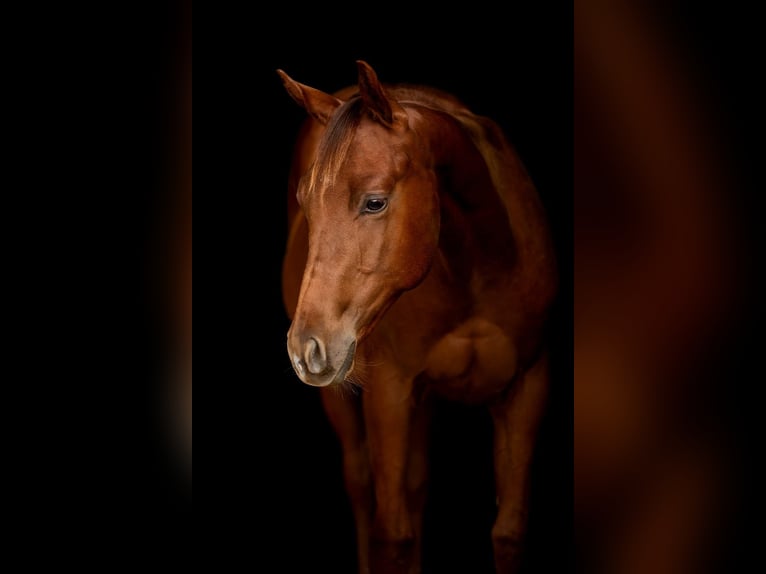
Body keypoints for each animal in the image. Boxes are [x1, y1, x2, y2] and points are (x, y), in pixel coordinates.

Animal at [279, 61, 557, 574]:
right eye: (306, 203)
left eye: (374, 201)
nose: (306, 347)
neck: (480, 270)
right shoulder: (389, 392)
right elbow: (392, 535)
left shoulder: (528, 388)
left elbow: (508, 533)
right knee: (362, 486)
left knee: (417, 485)